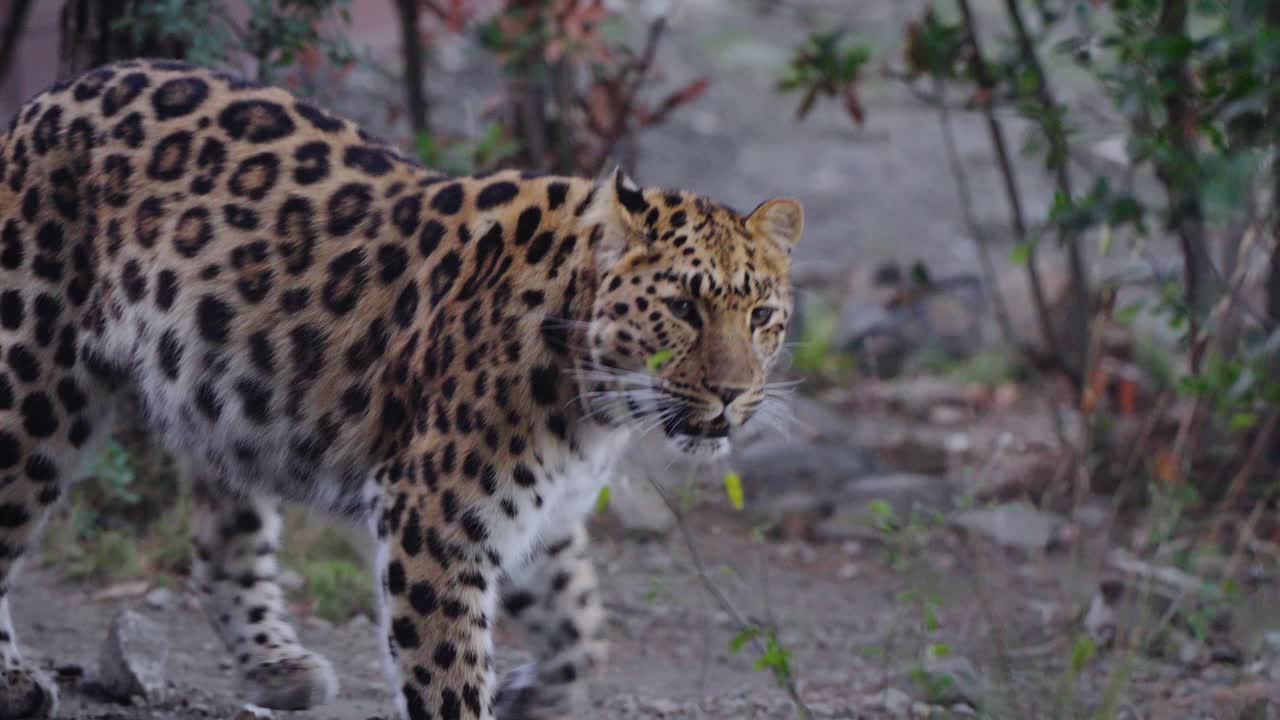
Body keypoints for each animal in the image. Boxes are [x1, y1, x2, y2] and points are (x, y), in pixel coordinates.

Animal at [0, 59, 803, 719]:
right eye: (684, 309)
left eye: (761, 316)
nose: (732, 393)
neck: (596, 402)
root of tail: (45, 98)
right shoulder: (435, 517)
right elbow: (449, 675)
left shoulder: (540, 518)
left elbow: (582, 630)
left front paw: (534, 695)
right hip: (35, 385)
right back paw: (15, 682)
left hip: (219, 395)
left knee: (221, 538)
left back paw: (276, 667)